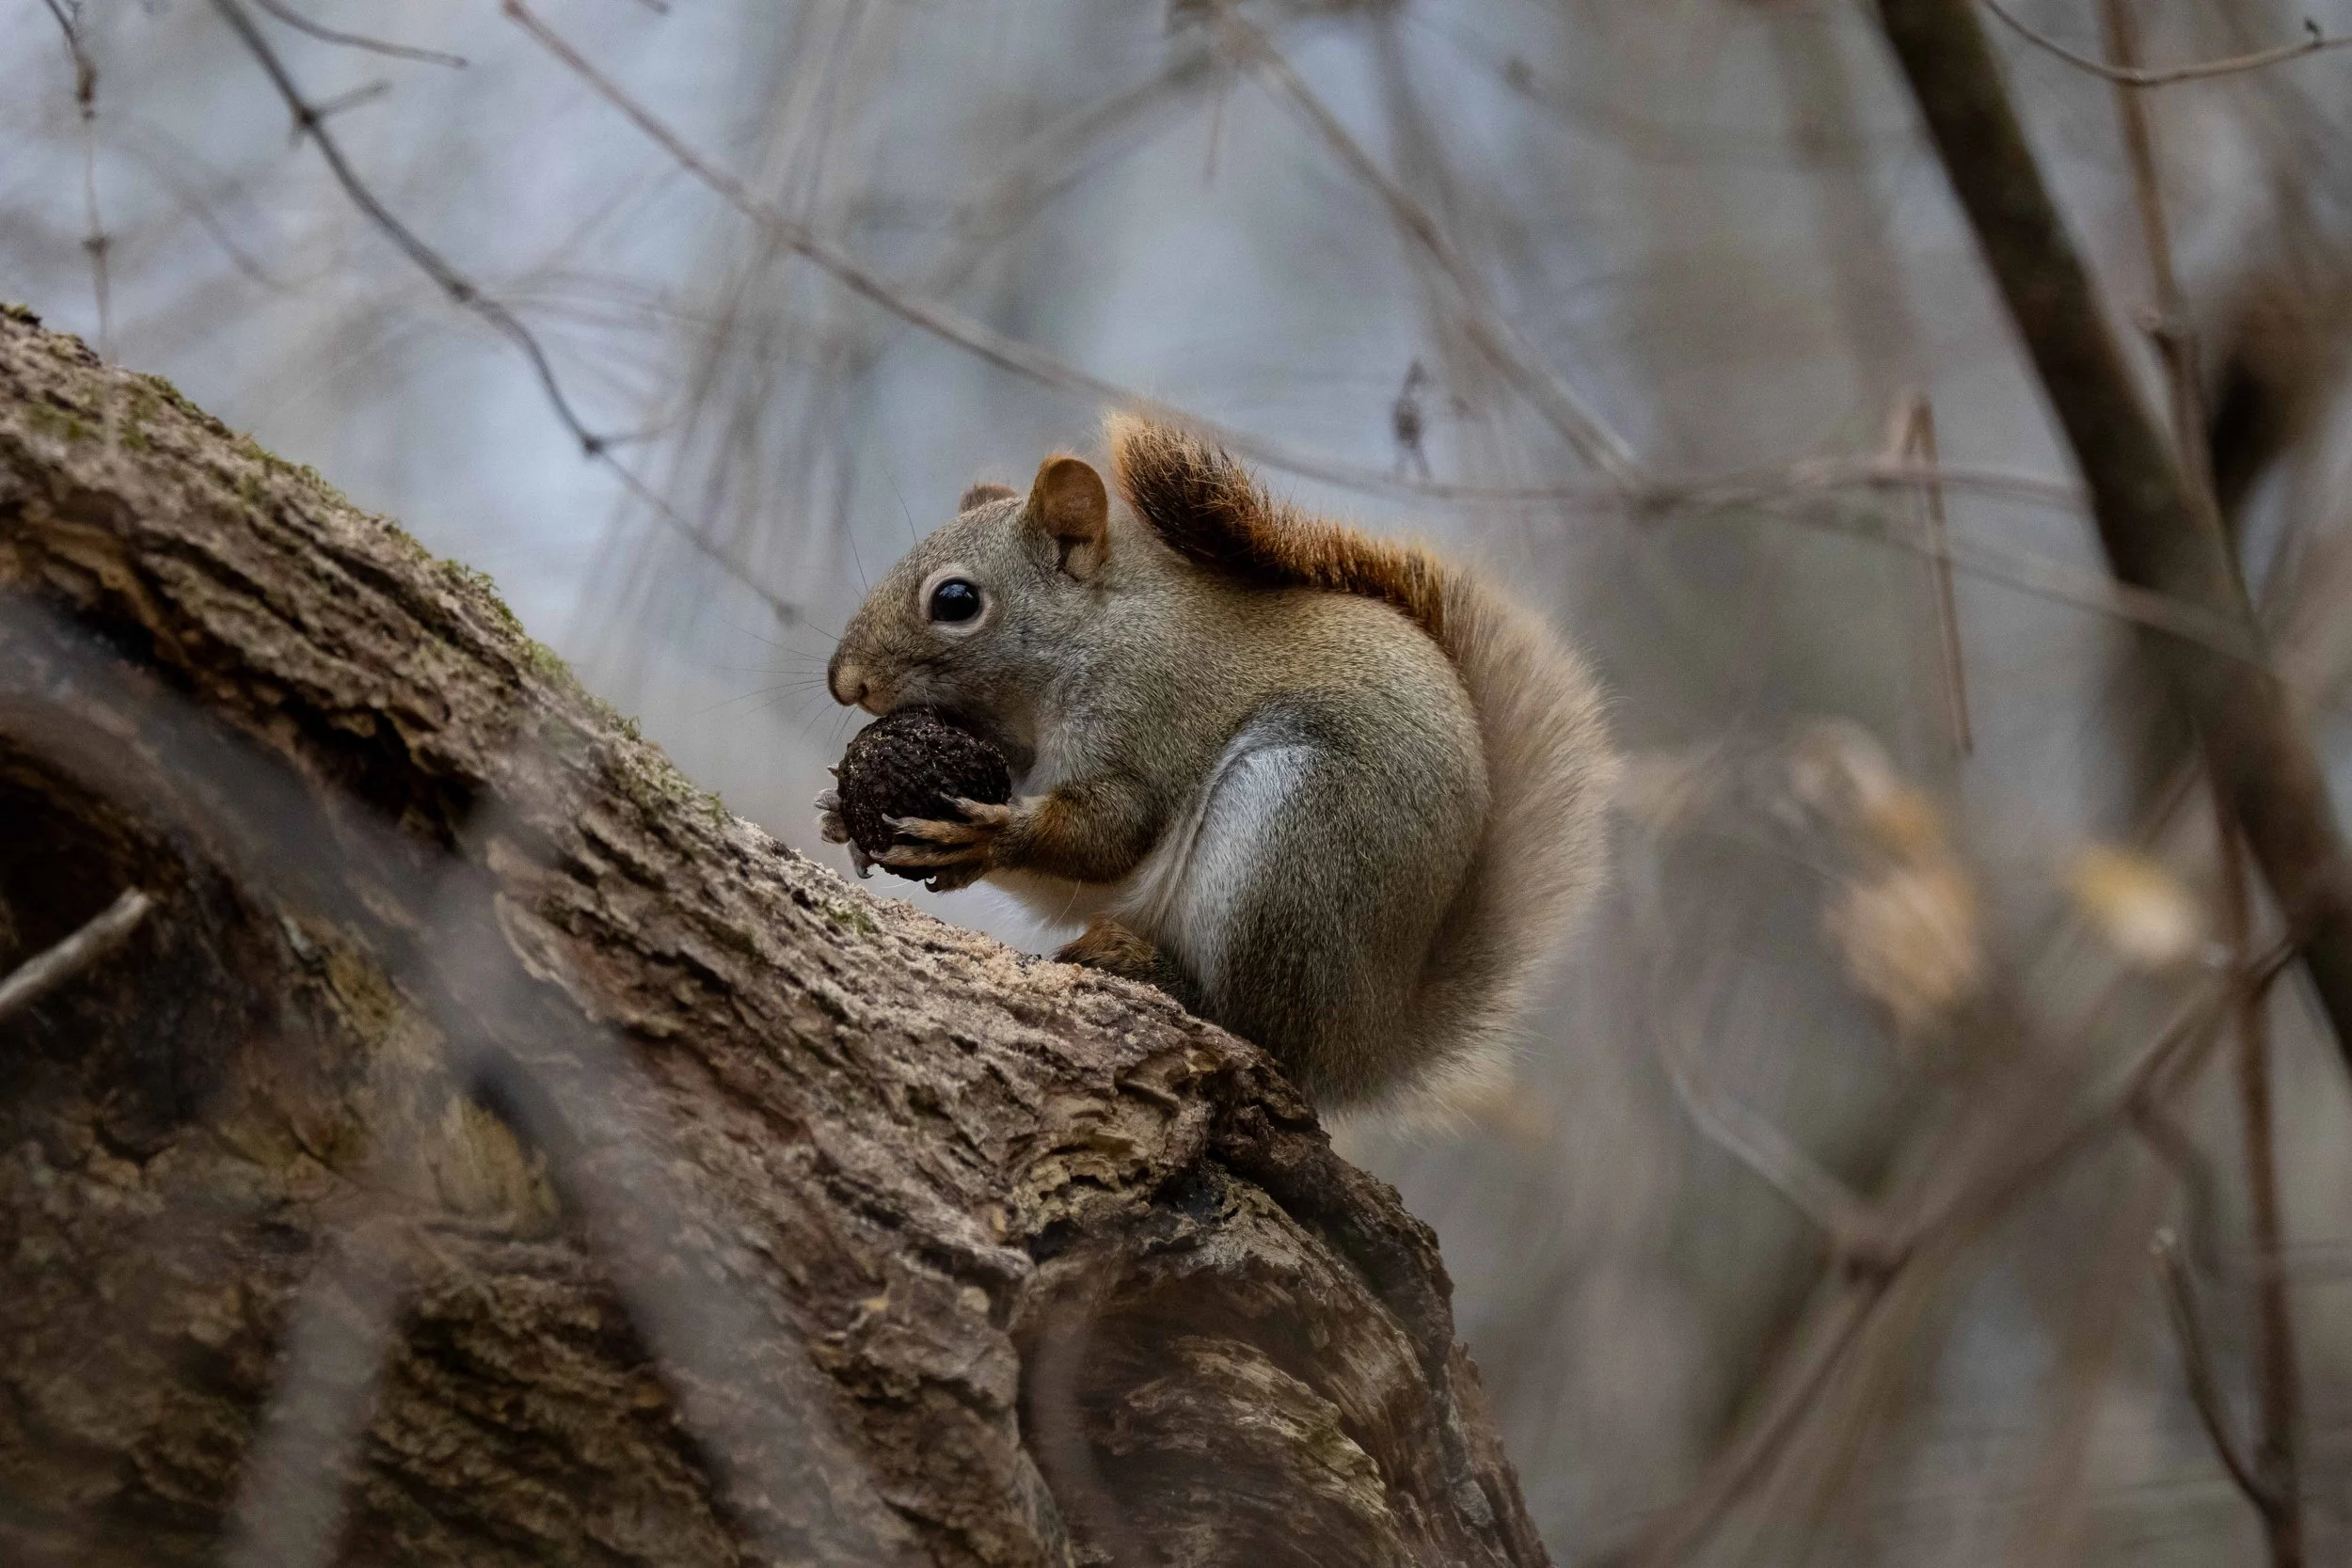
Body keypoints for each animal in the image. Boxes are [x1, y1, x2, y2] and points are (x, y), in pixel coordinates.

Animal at [818, 417, 1614, 1108]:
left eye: (956, 599)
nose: (843, 681)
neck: (1089, 636)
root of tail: (1364, 1036)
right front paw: (843, 818)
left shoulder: (1148, 717)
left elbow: (1112, 832)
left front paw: (986, 832)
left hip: (1292, 842)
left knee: (1253, 1026)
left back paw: (1150, 971)